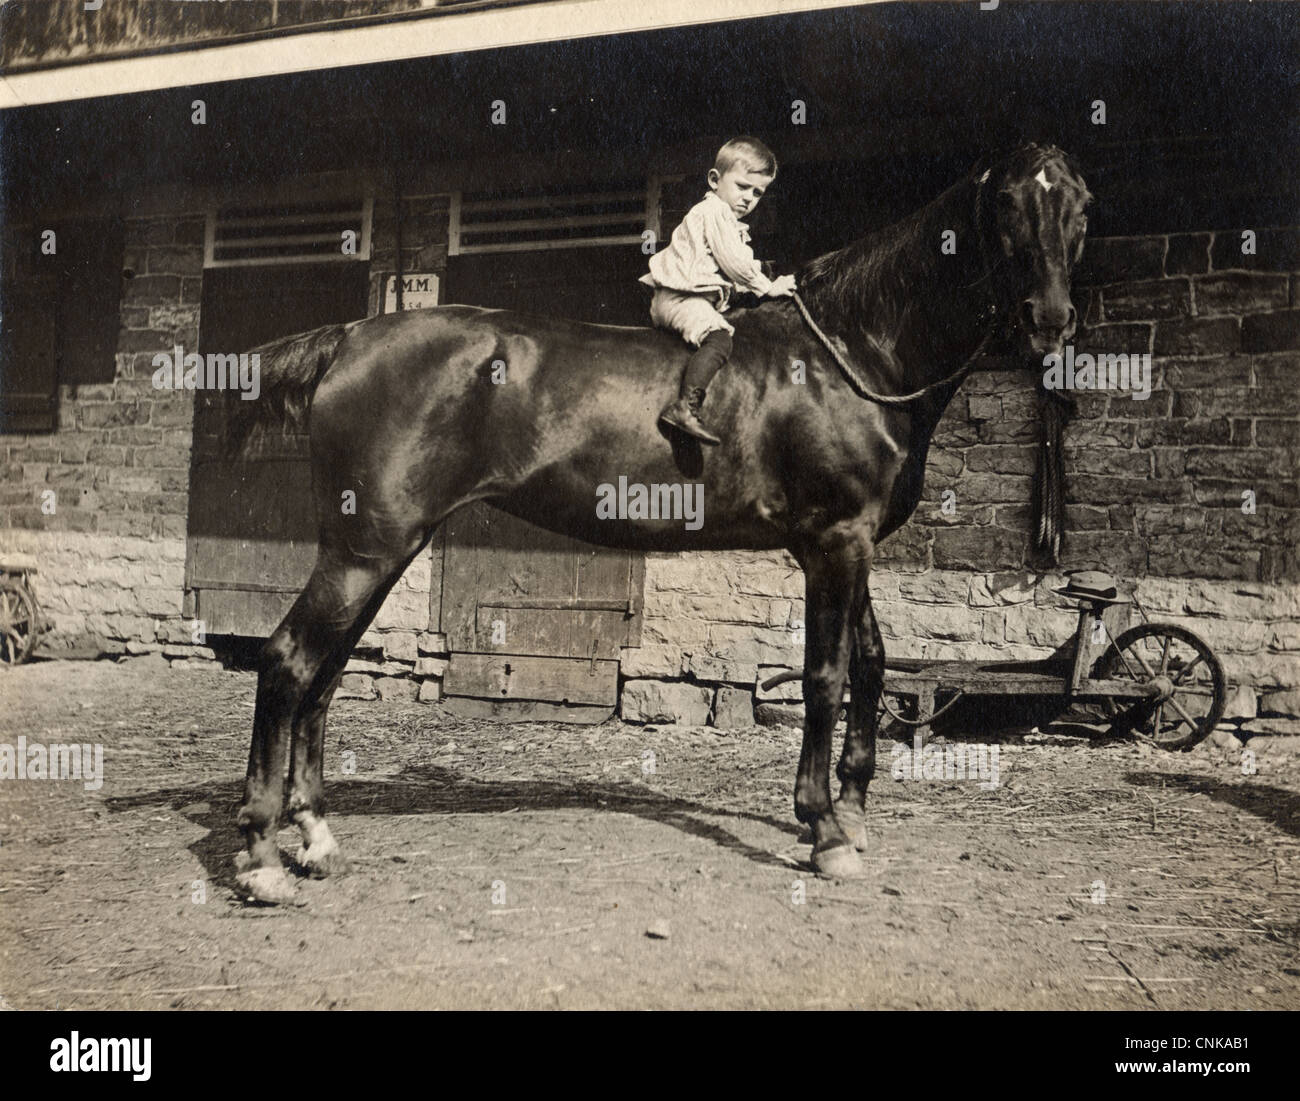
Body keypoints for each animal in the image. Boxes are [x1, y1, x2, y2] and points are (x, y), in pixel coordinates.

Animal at [231, 144, 1086, 904]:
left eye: (1079, 205)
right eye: (1007, 203)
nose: (1051, 318)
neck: (852, 355)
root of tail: (349, 339)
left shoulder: (852, 543)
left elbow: (872, 665)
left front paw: (851, 812)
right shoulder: (834, 543)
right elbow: (826, 675)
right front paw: (824, 830)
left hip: (384, 548)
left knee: (325, 673)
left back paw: (314, 836)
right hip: (364, 549)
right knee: (287, 661)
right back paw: (263, 855)